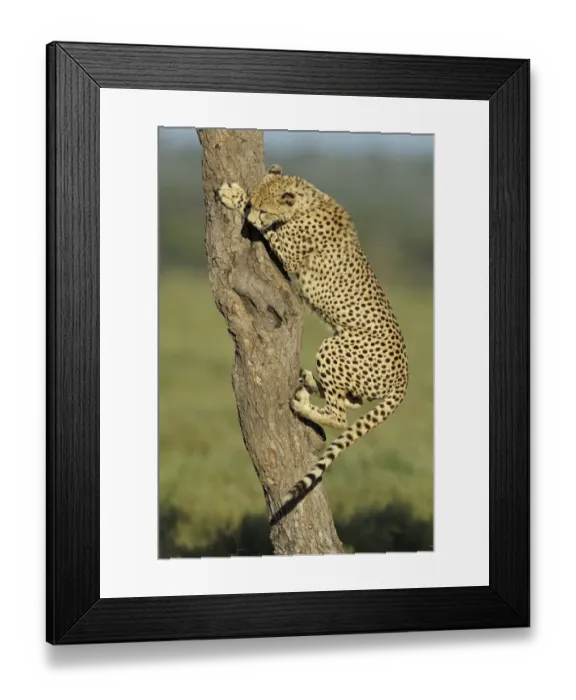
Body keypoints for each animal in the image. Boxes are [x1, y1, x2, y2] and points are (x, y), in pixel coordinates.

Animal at [217, 164, 409, 512]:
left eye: (263, 209)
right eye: (256, 204)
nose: (251, 217)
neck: (307, 200)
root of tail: (404, 377)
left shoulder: (289, 250)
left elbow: (271, 232)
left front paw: (233, 198)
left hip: (336, 347)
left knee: (340, 415)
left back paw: (305, 405)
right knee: (352, 399)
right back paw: (307, 384)